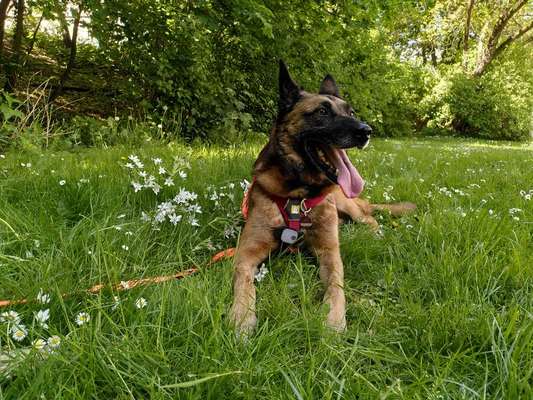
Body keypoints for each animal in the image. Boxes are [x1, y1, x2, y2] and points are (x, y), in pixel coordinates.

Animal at [230, 60, 416, 334]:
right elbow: (244, 283)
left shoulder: (329, 252)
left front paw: (334, 319)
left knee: (369, 219)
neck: (297, 196)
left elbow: (336, 285)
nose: (366, 131)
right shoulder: (246, 253)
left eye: (351, 112)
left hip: (348, 205)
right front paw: (242, 317)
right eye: (322, 111)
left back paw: (375, 233)